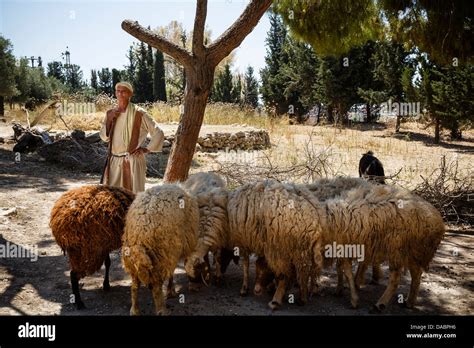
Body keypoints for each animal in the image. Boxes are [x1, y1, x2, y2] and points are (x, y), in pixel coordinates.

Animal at [121, 184, 199, 316]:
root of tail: (139, 233)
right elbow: (172, 272)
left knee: (134, 286)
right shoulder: (173, 250)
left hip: (132, 261)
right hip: (160, 256)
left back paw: (135, 310)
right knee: (157, 287)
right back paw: (162, 310)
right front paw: (171, 291)